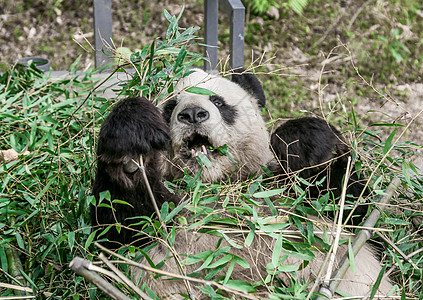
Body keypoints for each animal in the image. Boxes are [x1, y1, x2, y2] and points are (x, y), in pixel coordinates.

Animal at [91, 68, 392, 298]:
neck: (218, 185)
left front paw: (304, 141)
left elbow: (358, 212)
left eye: (218, 102)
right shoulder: (162, 218)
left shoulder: (285, 193)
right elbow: (114, 230)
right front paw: (132, 144)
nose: (193, 114)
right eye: (170, 106)